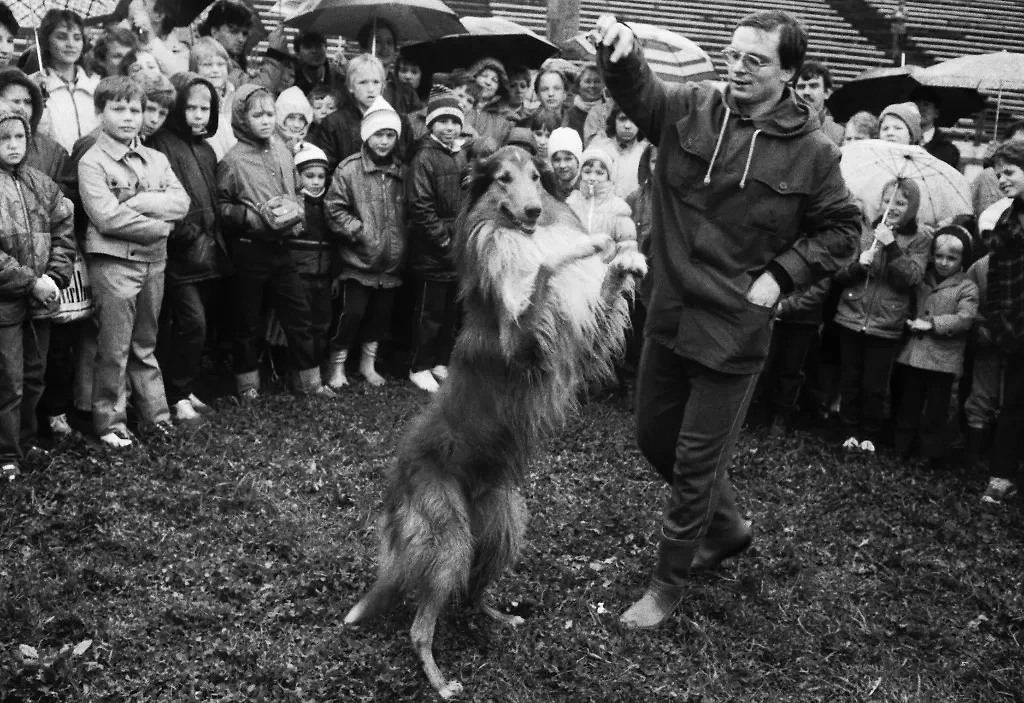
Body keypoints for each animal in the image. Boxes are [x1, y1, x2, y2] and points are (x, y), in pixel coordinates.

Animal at [344, 147, 647, 699]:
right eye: (501, 179)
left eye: (536, 177)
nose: (531, 212)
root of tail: (398, 475)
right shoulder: (523, 344)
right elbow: (544, 267)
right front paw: (590, 245)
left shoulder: (580, 348)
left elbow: (603, 302)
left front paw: (627, 258)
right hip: (448, 538)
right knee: (420, 628)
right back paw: (440, 682)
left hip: (503, 523)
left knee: (470, 594)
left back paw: (499, 617)